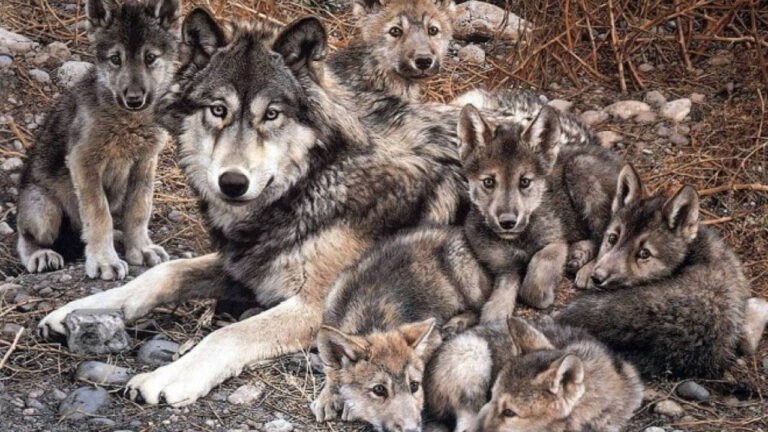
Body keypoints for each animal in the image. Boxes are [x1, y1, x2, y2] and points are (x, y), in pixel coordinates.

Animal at [16, 0, 180, 279]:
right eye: (115, 59)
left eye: (150, 58)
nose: (134, 99)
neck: (128, 122)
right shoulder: (83, 162)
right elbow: (98, 214)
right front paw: (105, 261)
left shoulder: (145, 162)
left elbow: (139, 210)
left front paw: (141, 249)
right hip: (44, 211)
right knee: (26, 237)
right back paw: (42, 255)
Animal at [37, 10, 466, 406]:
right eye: (218, 110)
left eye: (271, 114)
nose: (232, 182)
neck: (318, 178)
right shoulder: (245, 264)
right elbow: (162, 274)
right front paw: (79, 310)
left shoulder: (318, 308)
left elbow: (227, 333)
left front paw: (169, 376)